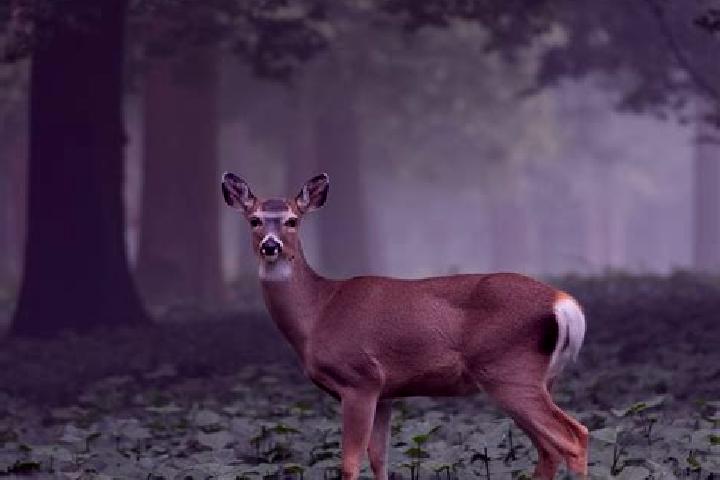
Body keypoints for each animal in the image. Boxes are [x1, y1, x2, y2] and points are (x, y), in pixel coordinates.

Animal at [221, 172, 588, 480]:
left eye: (292, 220)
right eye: (254, 220)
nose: (271, 245)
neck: (318, 313)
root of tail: (564, 303)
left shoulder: (359, 378)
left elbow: (350, 463)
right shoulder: (385, 392)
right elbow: (379, 459)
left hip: (508, 370)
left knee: (573, 437)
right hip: (540, 377)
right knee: (549, 449)